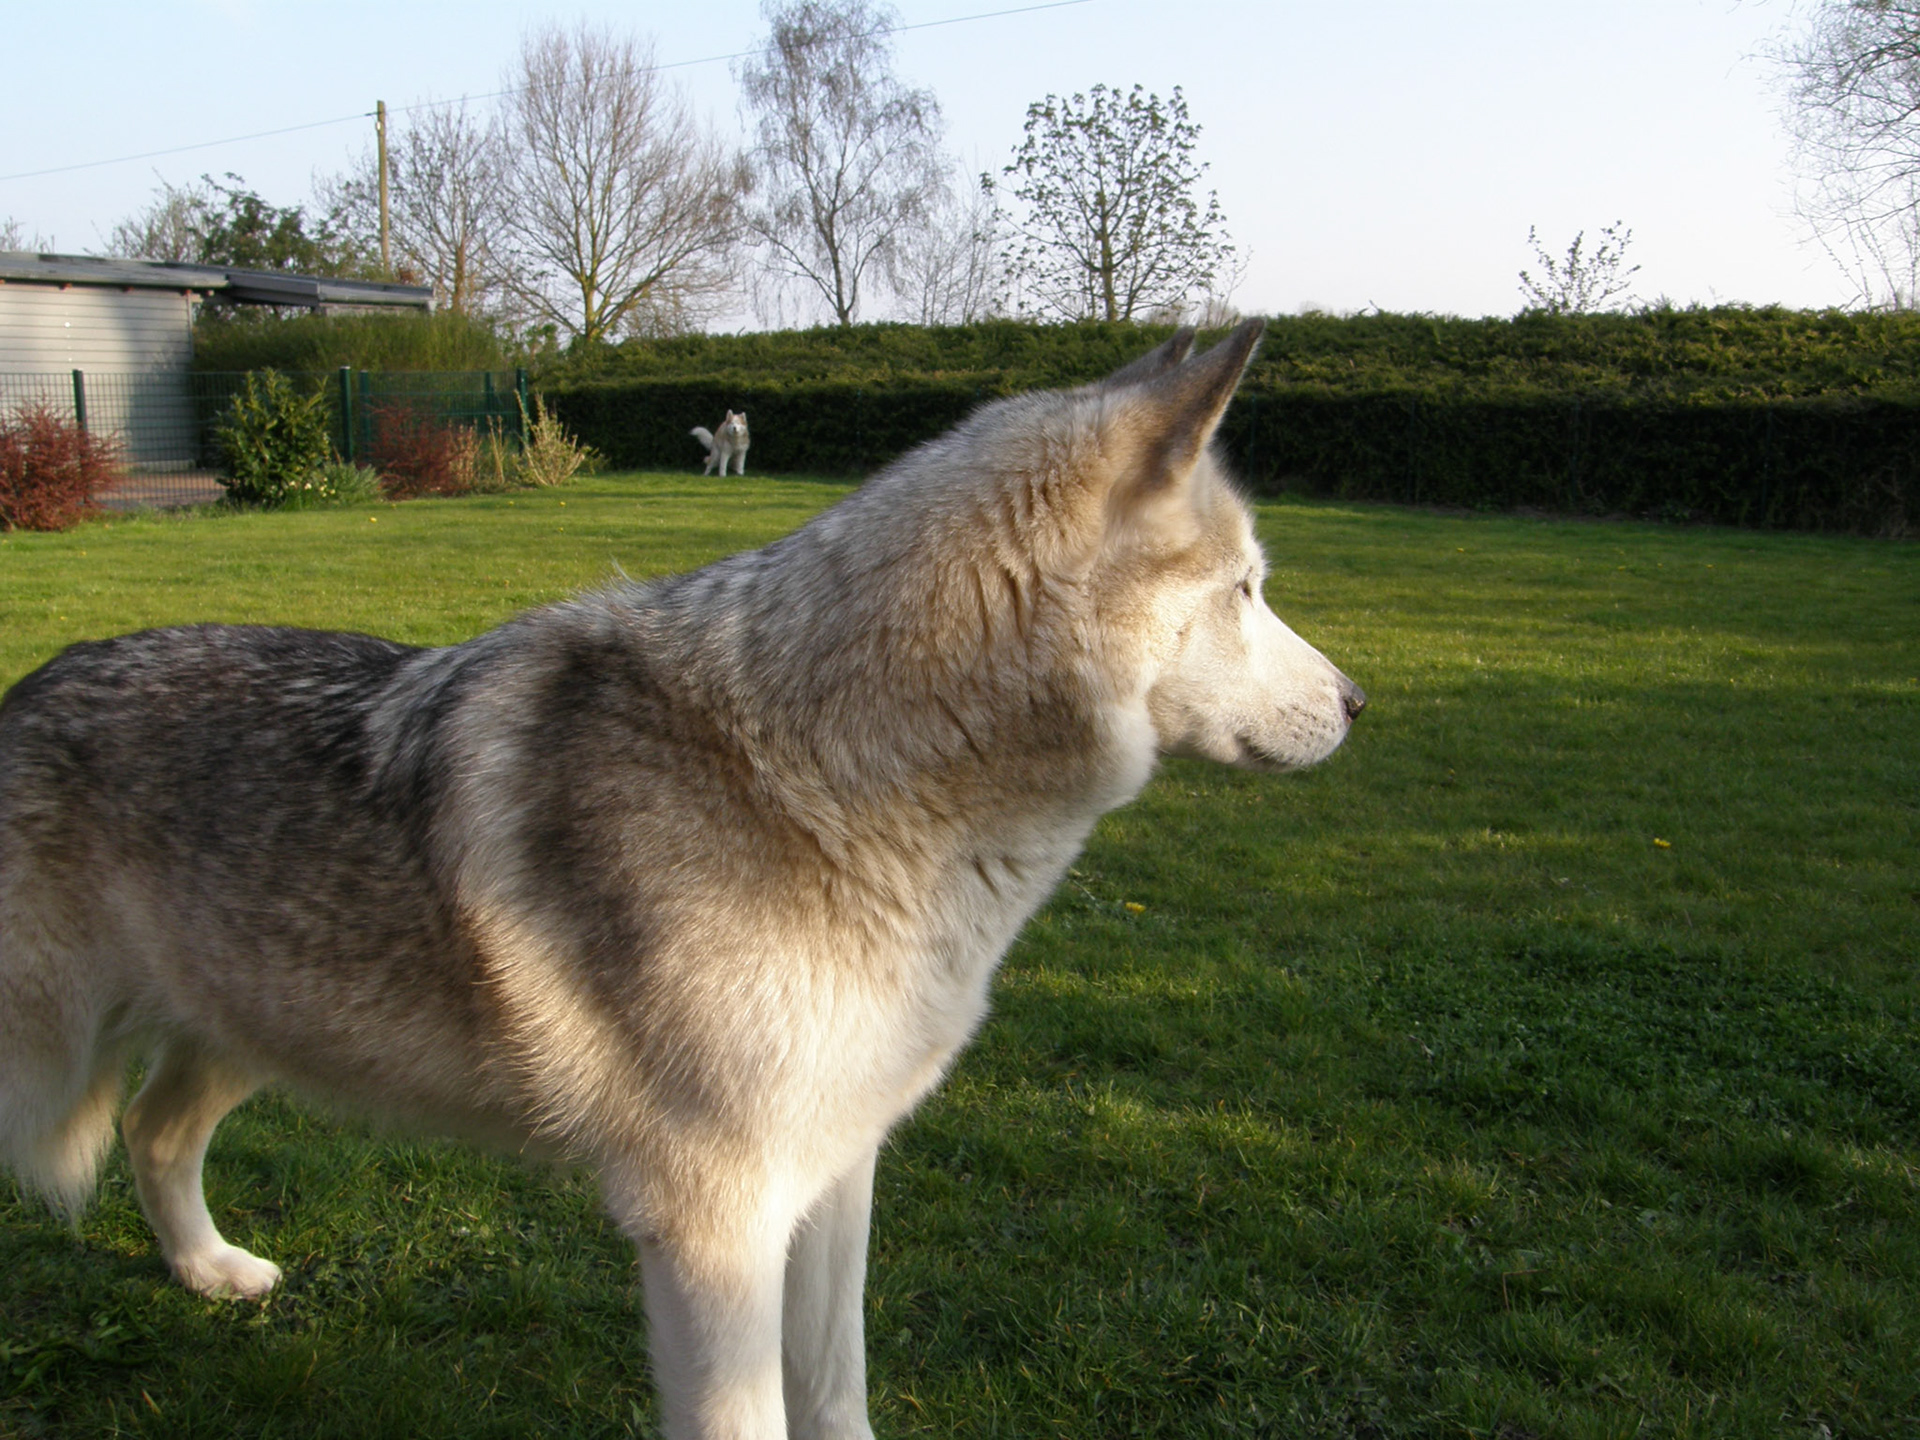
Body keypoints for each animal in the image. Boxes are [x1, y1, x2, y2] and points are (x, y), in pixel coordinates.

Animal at [0, 320, 1362, 1440]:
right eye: (1249, 591)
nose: (1359, 703)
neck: (826, 783)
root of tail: (29, 685)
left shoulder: (835, 1176)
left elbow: (839, 1396)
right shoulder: (717, 1230)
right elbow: (751, 1417)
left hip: (248, 1030)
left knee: (153, 1131)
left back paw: (211, 1275)